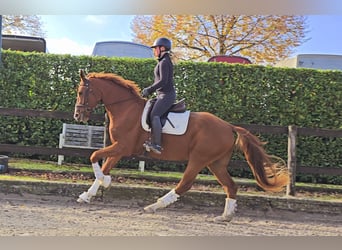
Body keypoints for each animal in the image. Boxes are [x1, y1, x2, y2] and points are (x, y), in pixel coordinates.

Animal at [74, 70, 288, 223]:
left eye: (82, 92)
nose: (78, 116)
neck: (126, 108)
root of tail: (228, 126)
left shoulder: (123, 147)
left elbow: (94, 157)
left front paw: (106, 182)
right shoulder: (118, 148)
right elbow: (104, 166)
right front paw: (88, 195)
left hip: (199, 159)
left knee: (185, 184)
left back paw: (155, 206)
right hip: (216, 163)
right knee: (230, 186)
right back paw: (225, 216)